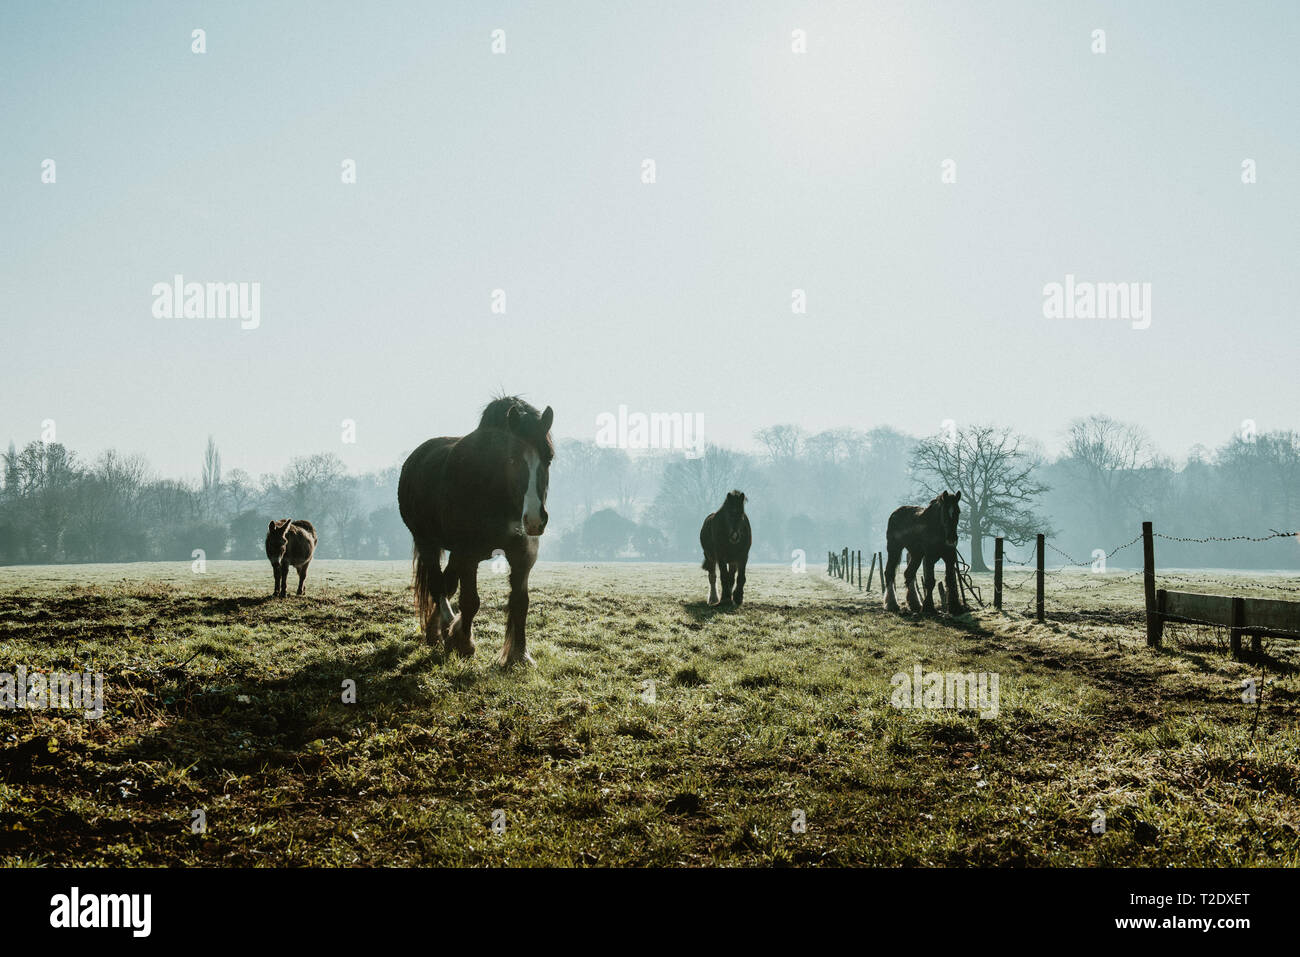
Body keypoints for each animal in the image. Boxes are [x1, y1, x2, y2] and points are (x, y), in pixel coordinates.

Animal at [397, 396, 554, 666]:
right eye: (512, 460)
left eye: (549, 459)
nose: (534, 519)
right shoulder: (468, 554)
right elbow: (470, 601)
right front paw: (463, 642)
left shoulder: (522, 556)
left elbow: (520, 602)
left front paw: (519, 654)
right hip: (427, 542)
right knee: (437, 585)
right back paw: (443, 628)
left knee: (446, 584)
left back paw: (440, 630)